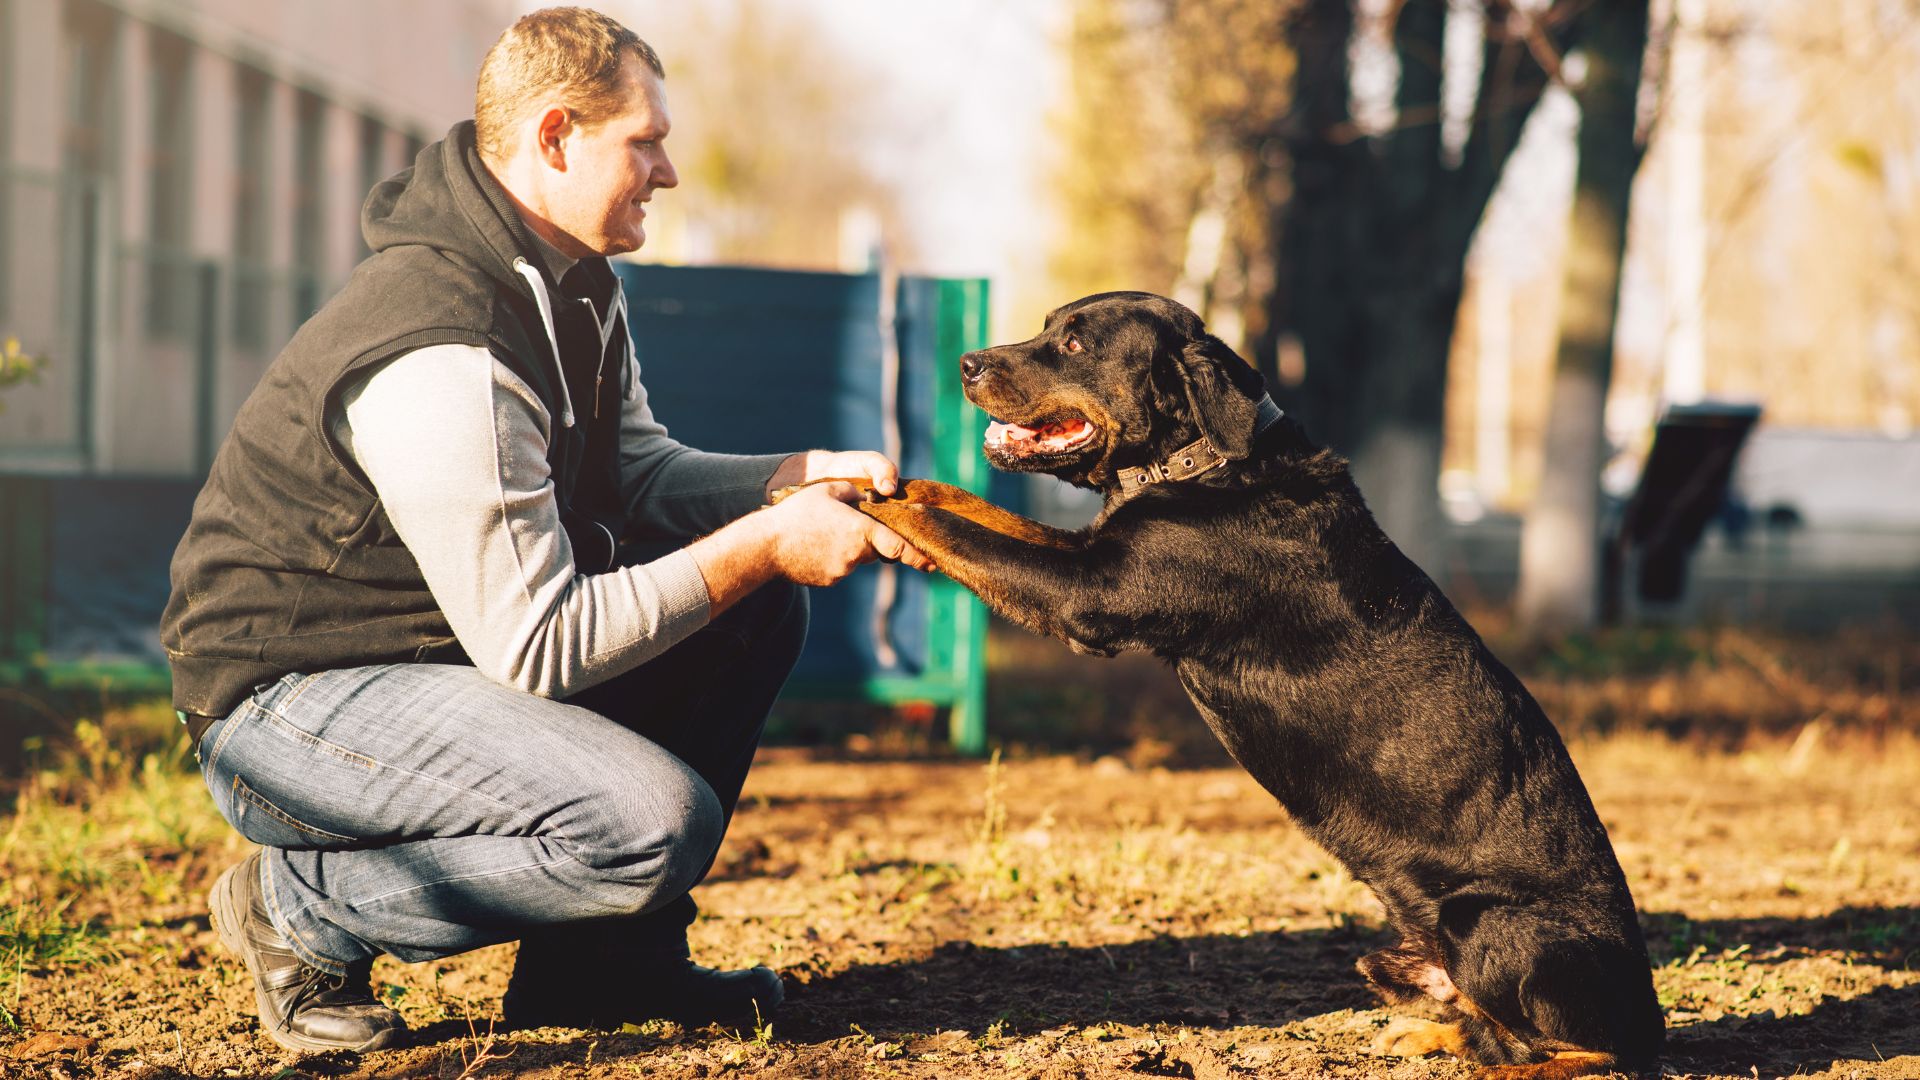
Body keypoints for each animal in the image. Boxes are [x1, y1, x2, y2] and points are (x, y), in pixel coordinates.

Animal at [794, 290, 1666, 1068]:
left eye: (1074, 343)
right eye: (1045, 326)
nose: (968, 363)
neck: (1202, 463)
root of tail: (1649, 1013)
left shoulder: (1084, 594)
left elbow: (958, 532)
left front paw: (850, 496)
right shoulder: (1090, 553)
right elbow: (969, 509)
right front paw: (885, 480)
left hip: (1487, 927)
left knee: (1584, 1053)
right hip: (1391, 956)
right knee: (1488, 1024)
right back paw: (1429, 1036)